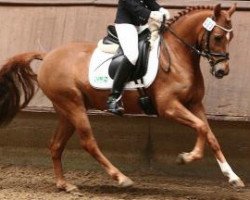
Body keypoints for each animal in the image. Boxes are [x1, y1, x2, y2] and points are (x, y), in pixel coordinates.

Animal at [0, 3, 244, 192]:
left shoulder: (195, 104)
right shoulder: (169, 107)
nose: (222, 71)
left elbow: (210, 135)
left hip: (65, 110)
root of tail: (48, 55)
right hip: (73, 106)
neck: (177, 55)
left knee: (55, 144)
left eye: (231, 36)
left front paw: (233, 177)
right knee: (88, 142)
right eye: (218, 37)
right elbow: (201, 128)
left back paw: (64, 185)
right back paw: (121, 178)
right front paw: (187, 157)